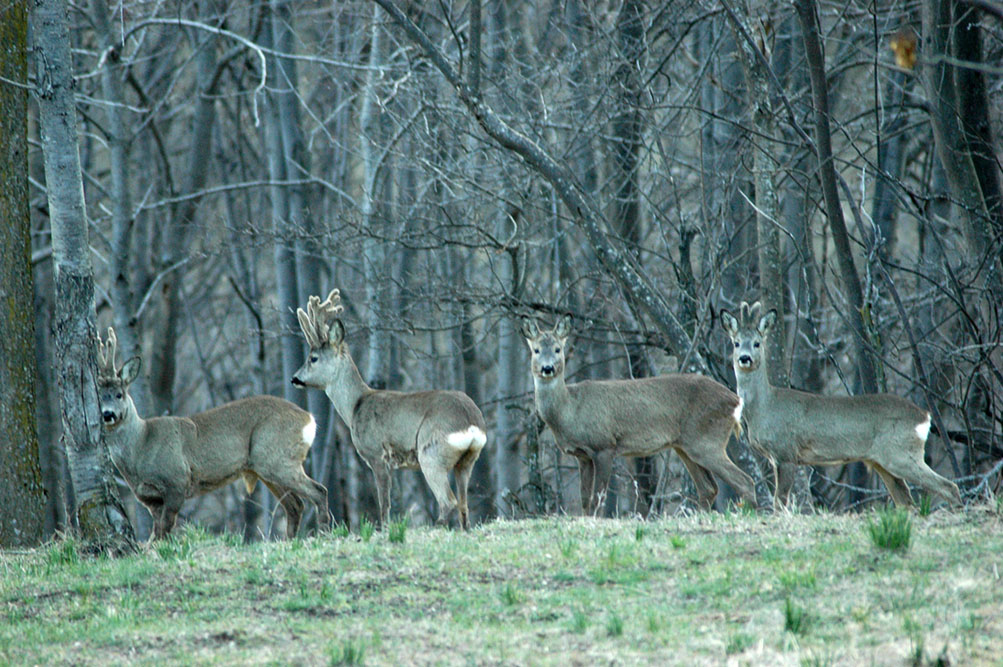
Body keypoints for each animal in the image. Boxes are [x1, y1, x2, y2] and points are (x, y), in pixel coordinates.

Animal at [95, 324, 328, 537]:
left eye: (119, 394)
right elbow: (158, 531)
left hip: (276, 458)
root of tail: (309, 418)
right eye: (99, 396)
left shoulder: (176, 480)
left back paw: (324, 532)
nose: (107, 414)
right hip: (265, 467)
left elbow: (166, 529)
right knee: (295, 505)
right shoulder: (149, 499)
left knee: (319, 491)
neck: (142, 444)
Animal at [288, 288, 487, 529]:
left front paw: (384, 529)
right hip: (467, 461)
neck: (355, 406)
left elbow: (384, 503)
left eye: (313, 358)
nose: (294, 378)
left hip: (431, 453)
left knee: (449, 501)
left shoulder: (376, 453)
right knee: (464, 507)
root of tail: (471, 423)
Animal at [521, 314, 754, 511]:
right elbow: (585, 499)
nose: (548, 368)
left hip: (707, 440)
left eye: (558, 349)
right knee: (708, 488)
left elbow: (598, 498)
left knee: (745, 481)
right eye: (536, 350)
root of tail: (735, 400)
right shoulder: (582, 455)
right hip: (685, 445)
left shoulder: (604, 445)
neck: (569, 410)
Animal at [722, 298, 962, 507]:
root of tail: (925, 416)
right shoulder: (778, 458)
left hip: (901, 453)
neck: (764, 408)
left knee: (948, 487)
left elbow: (779, 502)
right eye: (736, 343)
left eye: (757, 343)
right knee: (906, 501)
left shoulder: (786, 452)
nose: (744, 358)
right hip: (884, 461)